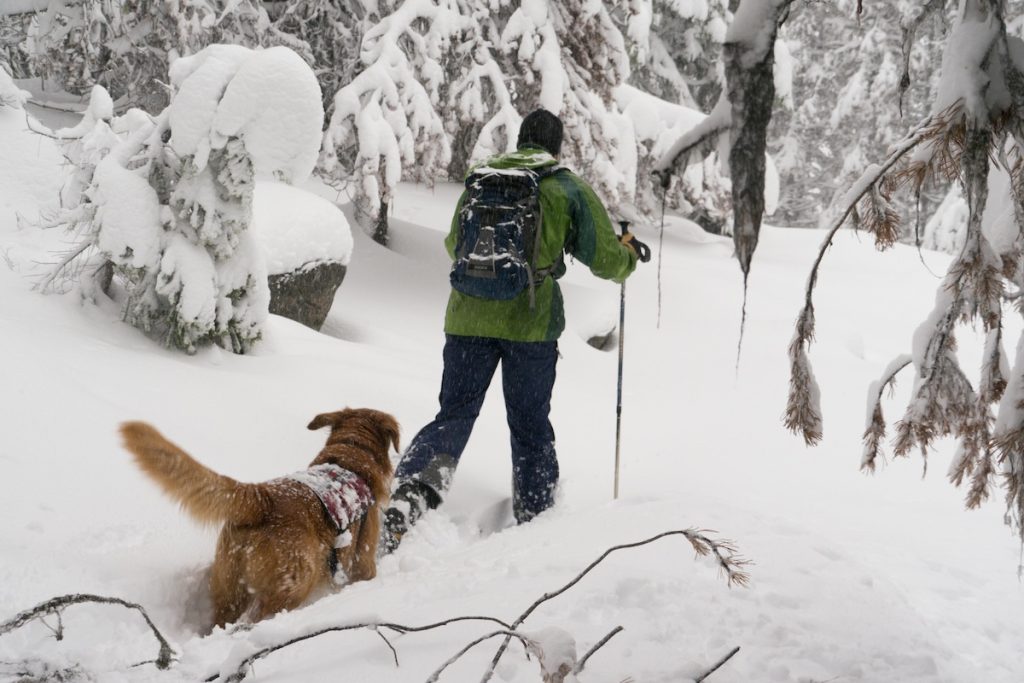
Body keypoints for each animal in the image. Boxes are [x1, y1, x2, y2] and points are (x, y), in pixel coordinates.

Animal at [116, 409, 395, 626]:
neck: (350, 454)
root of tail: (260, 496)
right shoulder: (363, 559)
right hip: (293, 584)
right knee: (254, 620)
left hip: (229, 586)